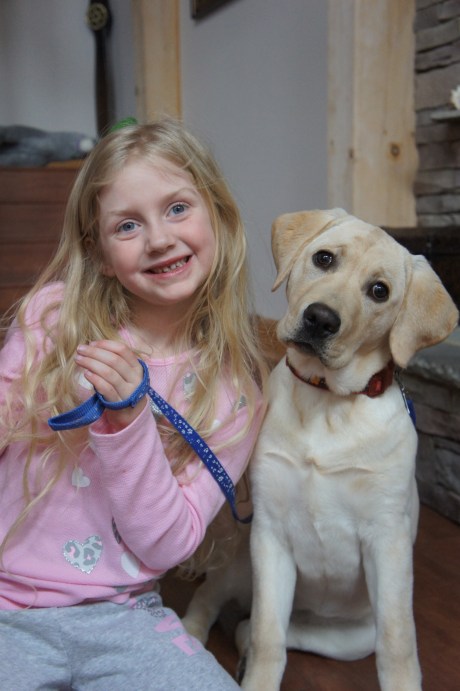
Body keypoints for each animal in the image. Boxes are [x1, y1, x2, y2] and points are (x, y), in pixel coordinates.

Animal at [182, 209, 459, 691]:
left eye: (380, 291)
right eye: (324, 258)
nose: (321, 319)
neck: (326, 401)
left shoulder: (387, 541)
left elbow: (398, 644)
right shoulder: (270, 535)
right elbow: (269, 636)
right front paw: (257, 679)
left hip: (351, 638)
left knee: (254, 627)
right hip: (242, 562)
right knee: (215, 601)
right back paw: (193, 637)